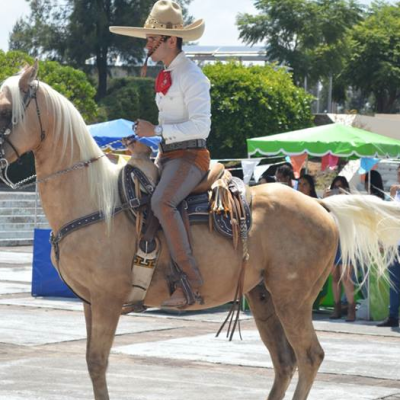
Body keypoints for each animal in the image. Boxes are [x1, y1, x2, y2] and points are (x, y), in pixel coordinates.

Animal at [0, 62, 400, 400]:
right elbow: (90, 362)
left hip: (293, 298)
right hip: (262, 296)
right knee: (285, 361)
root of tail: (321, 206)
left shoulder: (107, 301)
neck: (95, 201)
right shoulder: (89, 303)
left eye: (5, 109)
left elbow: (97, 363)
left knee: (309, 356)